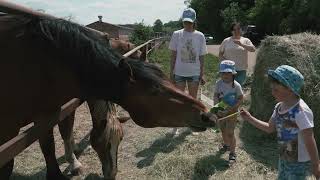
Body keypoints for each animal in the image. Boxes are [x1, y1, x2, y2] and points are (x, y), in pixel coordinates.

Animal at [0, 1, 215, 180]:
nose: (207, 115)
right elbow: (13, 162)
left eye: (120, 139)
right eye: (155, 92)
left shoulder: (52, 112)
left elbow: (54, 141)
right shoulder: (10, 128)